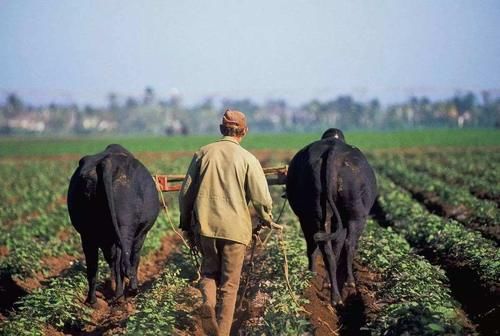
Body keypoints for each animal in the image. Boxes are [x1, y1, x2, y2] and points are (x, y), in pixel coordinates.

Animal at [67, 144, 159, 304]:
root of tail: (108, 163)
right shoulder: (141, 233)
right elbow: (135, 257)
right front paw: (131, 289)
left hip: (88, 234)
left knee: (94, 266)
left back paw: (93, 301)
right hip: (124, 229)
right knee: (123, 260)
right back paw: (124, 294)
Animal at [286, 128, 376, 304]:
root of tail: (332, 151)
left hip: (317, 214)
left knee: (324, 249)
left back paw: (328, 290)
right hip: (356, 215)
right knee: (348, 244)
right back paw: (345, 284)